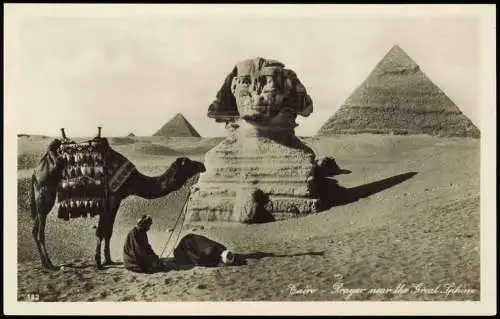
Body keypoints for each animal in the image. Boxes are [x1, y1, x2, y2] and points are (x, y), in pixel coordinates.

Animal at [29, 129, 206, 272]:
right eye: (189, 163)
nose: (202, 165)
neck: (132, 180)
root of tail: (36, 171)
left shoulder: (116, 200)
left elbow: (108, 231)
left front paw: (109, 260)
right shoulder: (112, 198)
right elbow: (101, 231)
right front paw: (99, 263)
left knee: (35, 229)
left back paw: (45, 264)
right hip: (44, 194)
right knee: (39, 231)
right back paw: (50, 265)